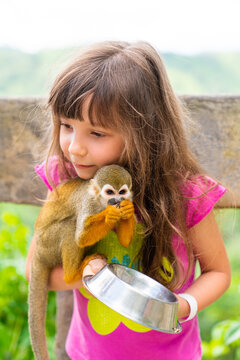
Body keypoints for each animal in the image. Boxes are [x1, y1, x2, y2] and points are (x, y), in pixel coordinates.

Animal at [28, 165, 135, 360]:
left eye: (122, 192)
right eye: (110, 192)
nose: (117, 200)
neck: (100, 202)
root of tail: (38, 251)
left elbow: (124, 241)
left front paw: (128, 211)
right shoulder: (88, 203)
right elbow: (81, 237)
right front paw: (109, 214)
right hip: (48, 244)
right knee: (70, 226)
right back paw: (72, 275)